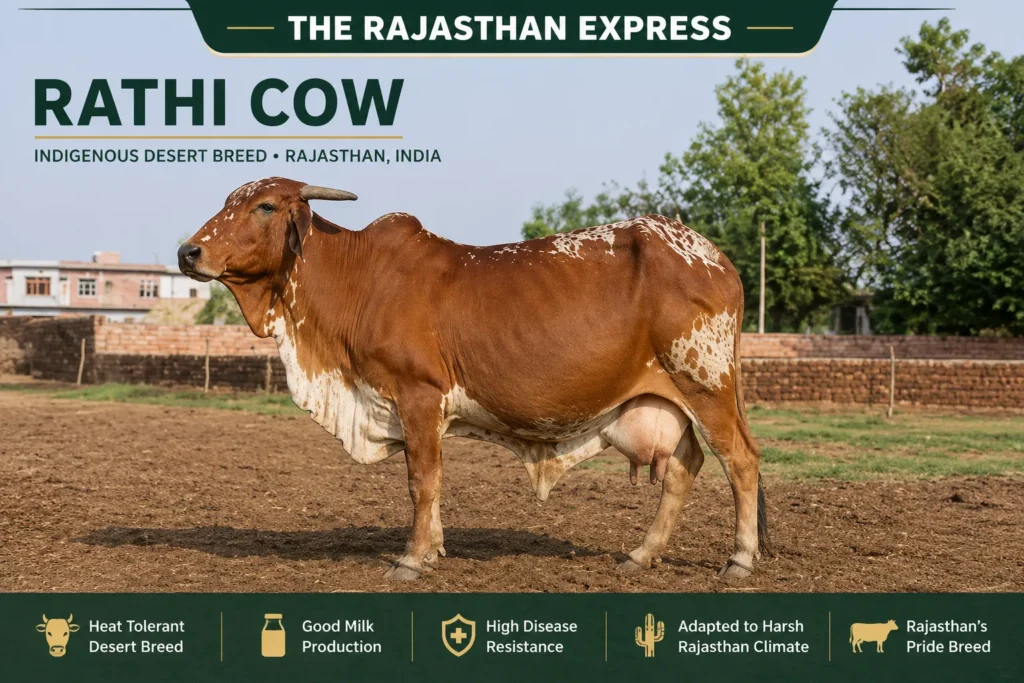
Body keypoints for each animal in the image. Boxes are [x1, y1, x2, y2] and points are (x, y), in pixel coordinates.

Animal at [177, 177, 772, 580]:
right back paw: (641, 553)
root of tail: (717, 259)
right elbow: (432, 483)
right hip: (673, 396)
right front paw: (435, 548)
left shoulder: (416, 395)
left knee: (740, 460)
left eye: (264, 205)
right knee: (685, 467)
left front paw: (412, 559)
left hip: (705, 383)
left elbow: (422, 481)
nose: (189, 251)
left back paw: (740, 560)